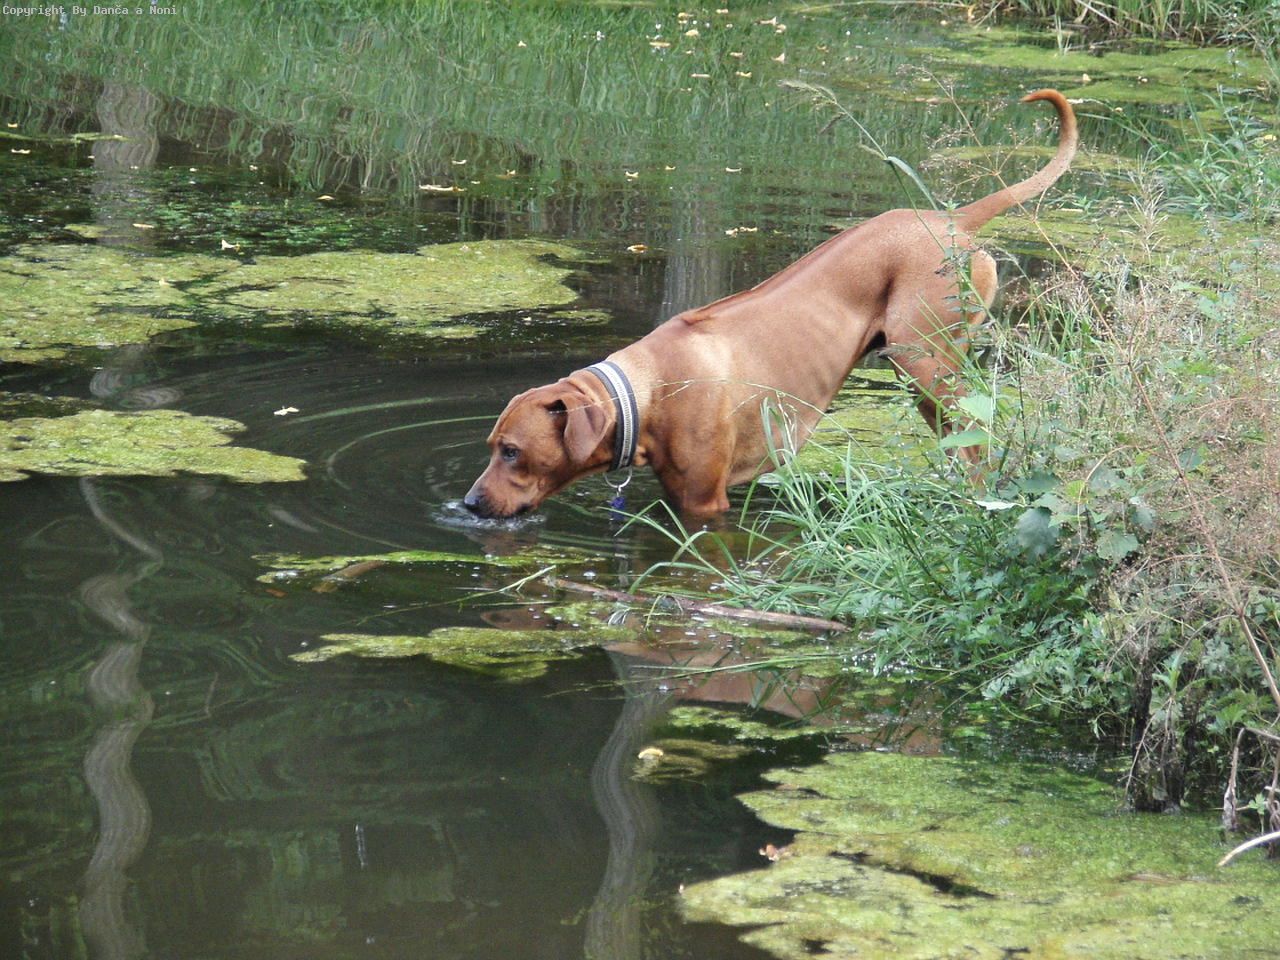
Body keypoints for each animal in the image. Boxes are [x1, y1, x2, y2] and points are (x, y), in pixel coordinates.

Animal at [465, 89, 1076, 519]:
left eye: (512, 451)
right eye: (492, 445)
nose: (469, 504)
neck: (648, 388)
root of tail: (955, 220)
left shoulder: (705, 503)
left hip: (924, 359)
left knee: (977, 441)